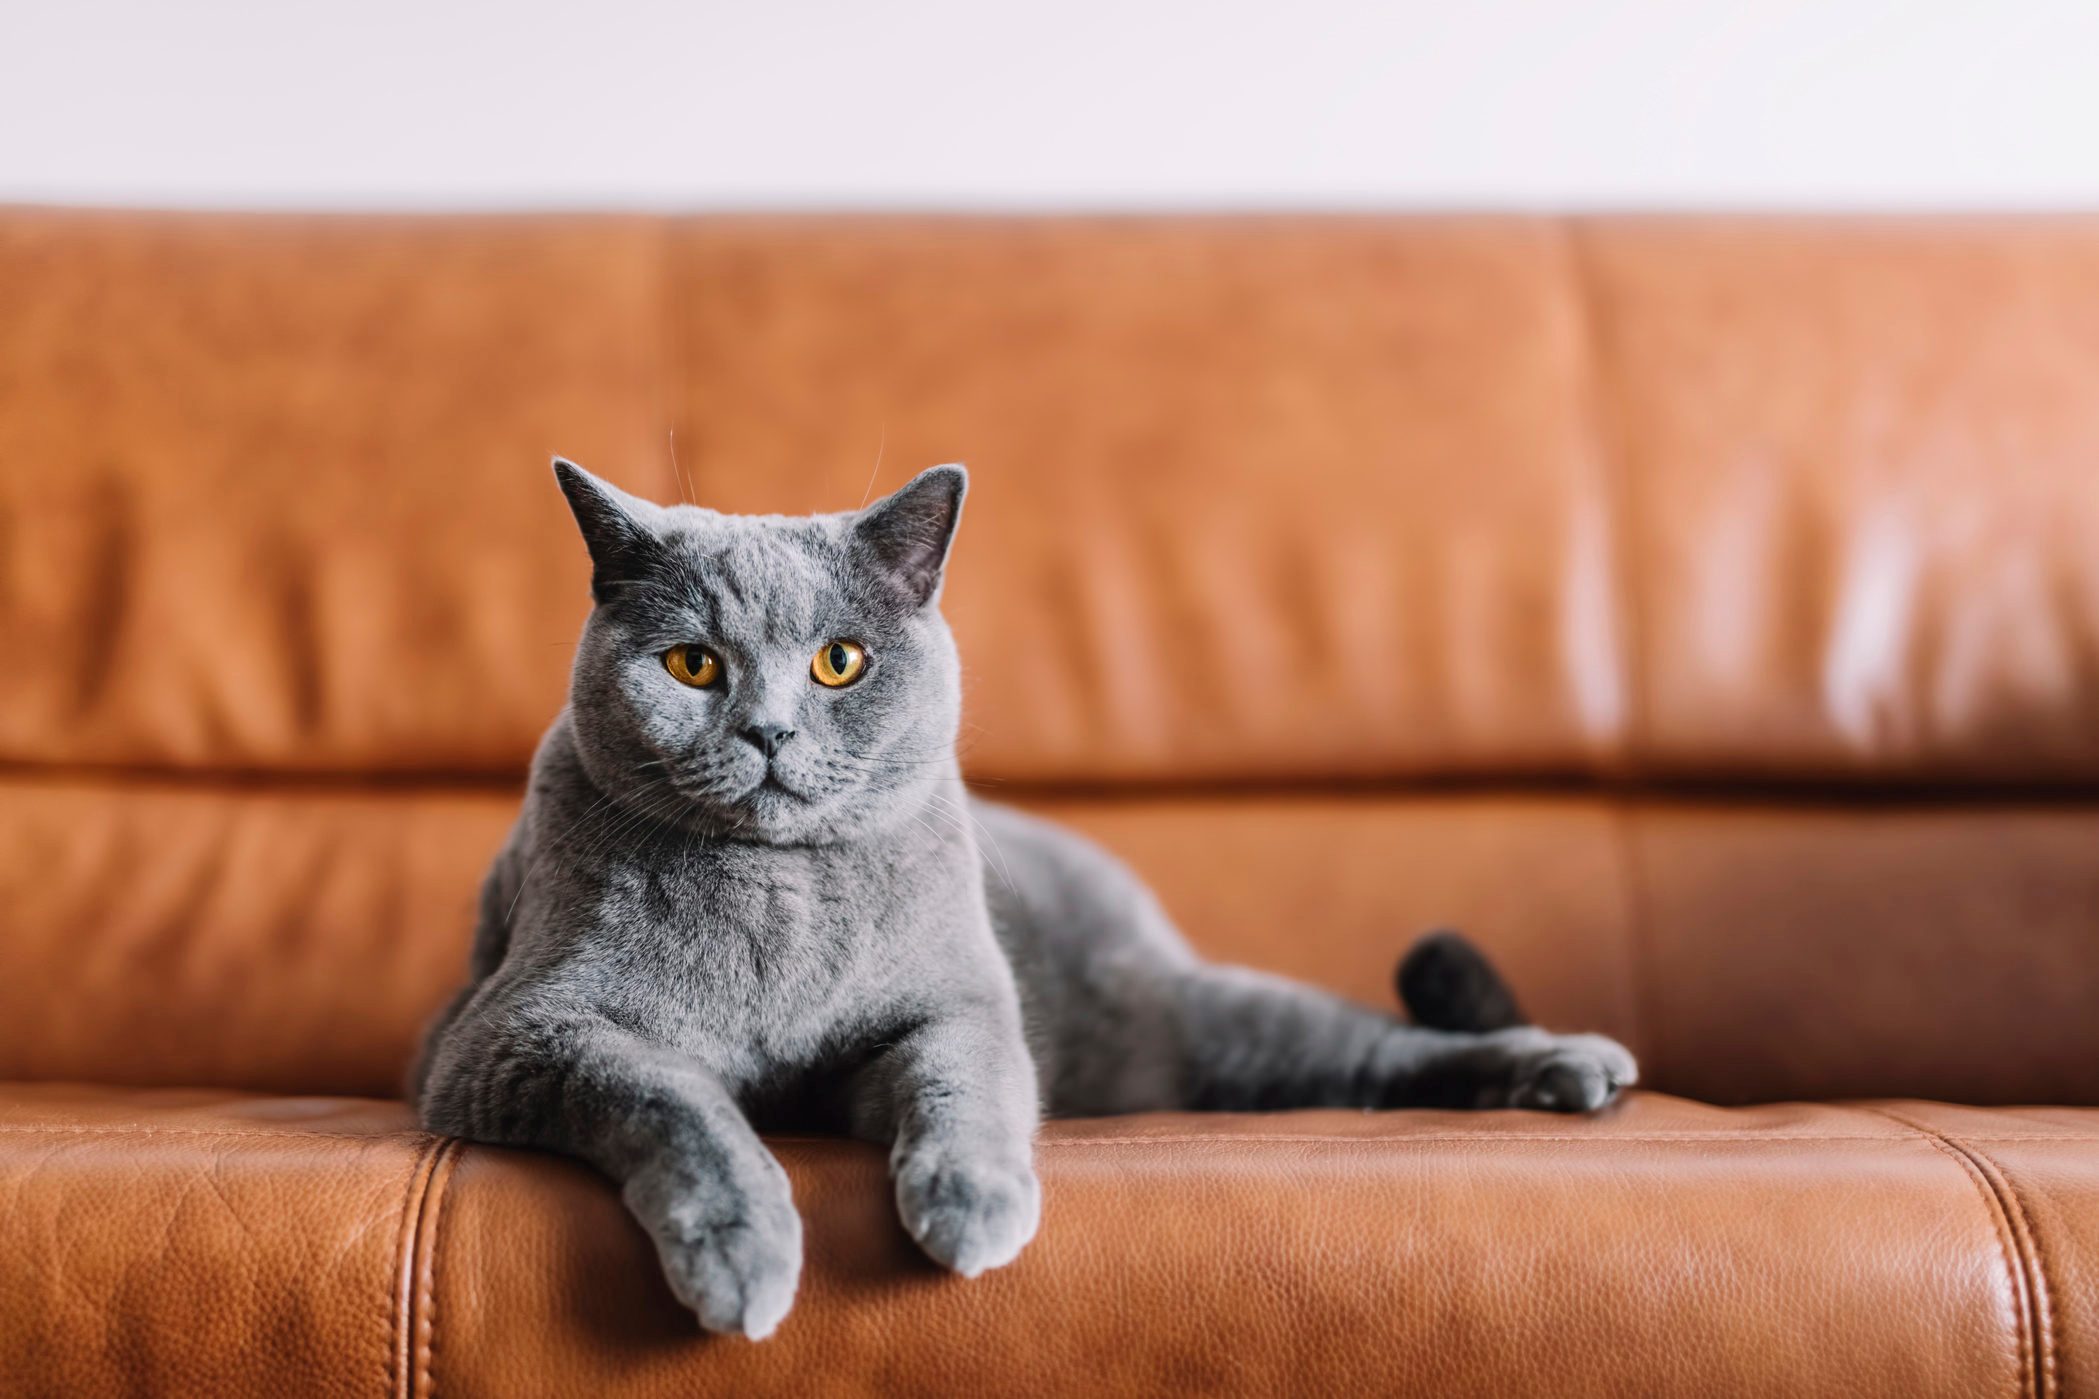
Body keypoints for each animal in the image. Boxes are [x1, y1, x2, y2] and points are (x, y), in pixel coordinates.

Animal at [417, 457, 1637, 1333]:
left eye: (839, 662)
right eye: (693, 666)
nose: (767, 731)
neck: (781, 896)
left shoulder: (952, 1001)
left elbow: (967, 1076)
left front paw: (971, 1205)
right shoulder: (517, 1032)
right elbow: (671, 1098)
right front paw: (741, 1253)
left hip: (1205, 1017)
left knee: (1376, 1047)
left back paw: (1571, 1066)